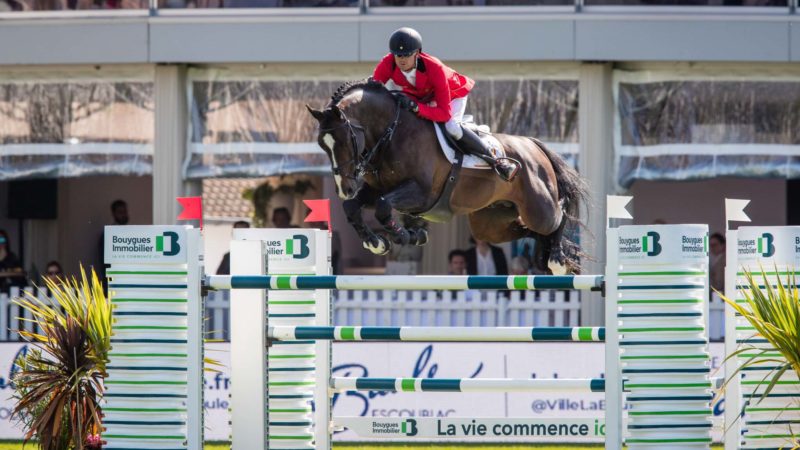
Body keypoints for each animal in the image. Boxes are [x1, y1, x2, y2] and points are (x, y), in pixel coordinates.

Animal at [306, 78, 588, 272]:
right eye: (322, 144)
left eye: (347, 139)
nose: (344, 188)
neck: (392, 134)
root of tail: (533, 144)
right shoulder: (375, 190)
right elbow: (353, 208)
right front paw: (376, 242)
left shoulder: (421, 193)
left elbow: (384, 207)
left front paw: (405, 235)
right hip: (491, 224)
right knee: (526, 231)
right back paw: (548, 255)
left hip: (538, 208)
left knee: (557, 215)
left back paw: (557, 258)